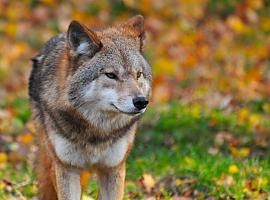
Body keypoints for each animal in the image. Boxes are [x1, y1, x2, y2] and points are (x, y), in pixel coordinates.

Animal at [28, 15, 153, 200]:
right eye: (111, 75)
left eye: (138, 75)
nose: (141, 101)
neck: (97, 132)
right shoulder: (66, 168)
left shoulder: (113, 168)